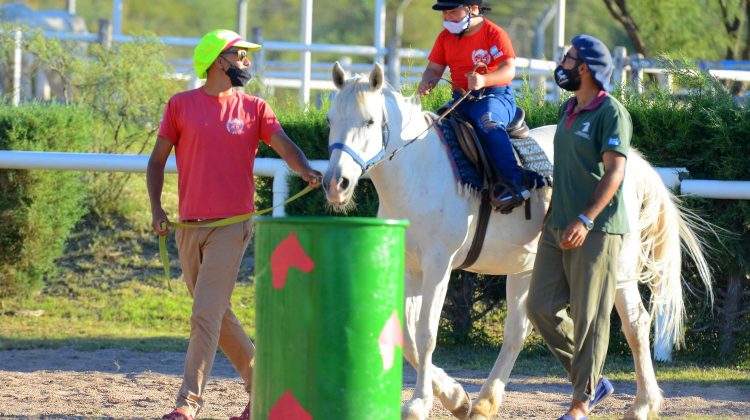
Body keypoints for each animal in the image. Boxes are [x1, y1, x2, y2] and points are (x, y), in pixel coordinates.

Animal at [324, 63, 712, 420]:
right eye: (330, 119)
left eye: (370, 121)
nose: (335, 184)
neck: (419, 169)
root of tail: (630, 164)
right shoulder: (411, 267)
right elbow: (406, 337)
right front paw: (455, 396)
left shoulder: (438, 265)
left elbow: (426, 334)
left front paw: (420, 403)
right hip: (527, 268)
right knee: (518, 330)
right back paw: (485, 401)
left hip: (618, 270)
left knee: (635, 324)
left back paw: (643, 404)